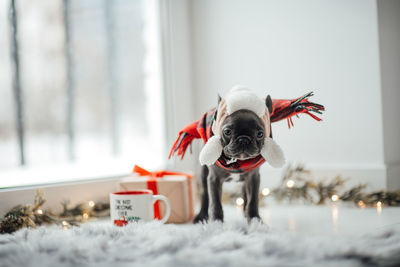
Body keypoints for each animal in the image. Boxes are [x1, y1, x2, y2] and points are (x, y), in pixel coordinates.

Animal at [193, 96, 274, 224]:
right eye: (227, 131)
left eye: (260, 134)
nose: (244, 140)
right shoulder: (214, 179)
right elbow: (215, 203)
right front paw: (216, 222)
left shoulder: (254, 178)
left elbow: (253, 200)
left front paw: (255, 220)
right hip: (203, 174)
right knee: (204, 194)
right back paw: (201, 215)